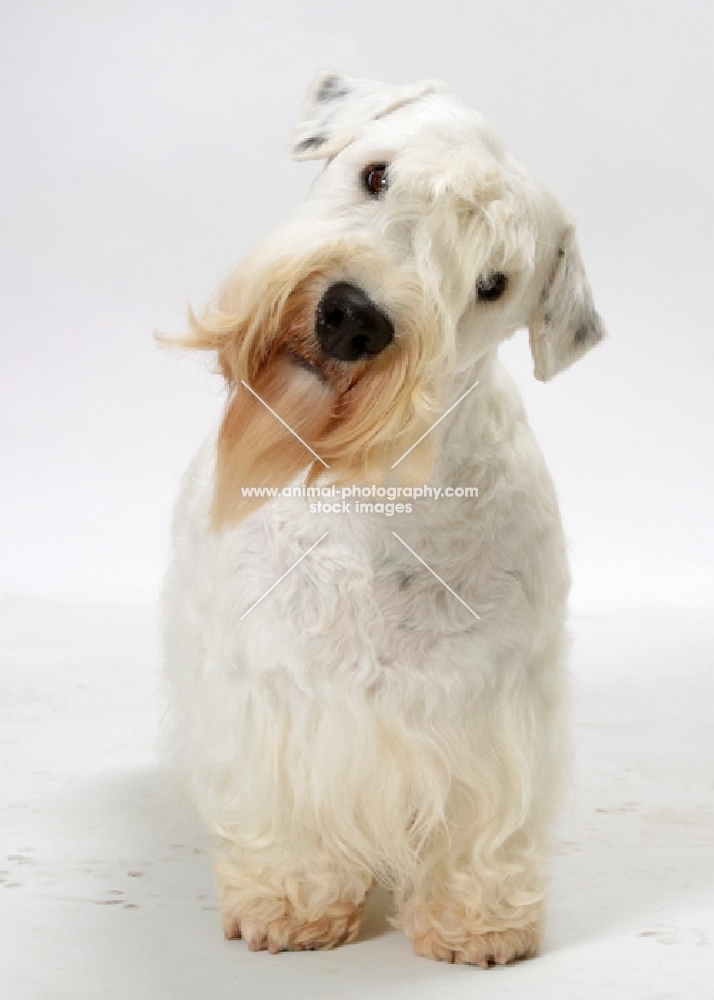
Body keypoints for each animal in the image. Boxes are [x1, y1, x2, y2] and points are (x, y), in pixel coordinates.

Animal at [164, 72, 604, 968]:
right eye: (377, 174)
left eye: (493, 281)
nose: (353, 317)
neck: (371, 489)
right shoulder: (273, 689)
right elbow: (285, 810)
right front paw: (290, 901)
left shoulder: (493, 700)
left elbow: (482, 827)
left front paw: (477, 922)